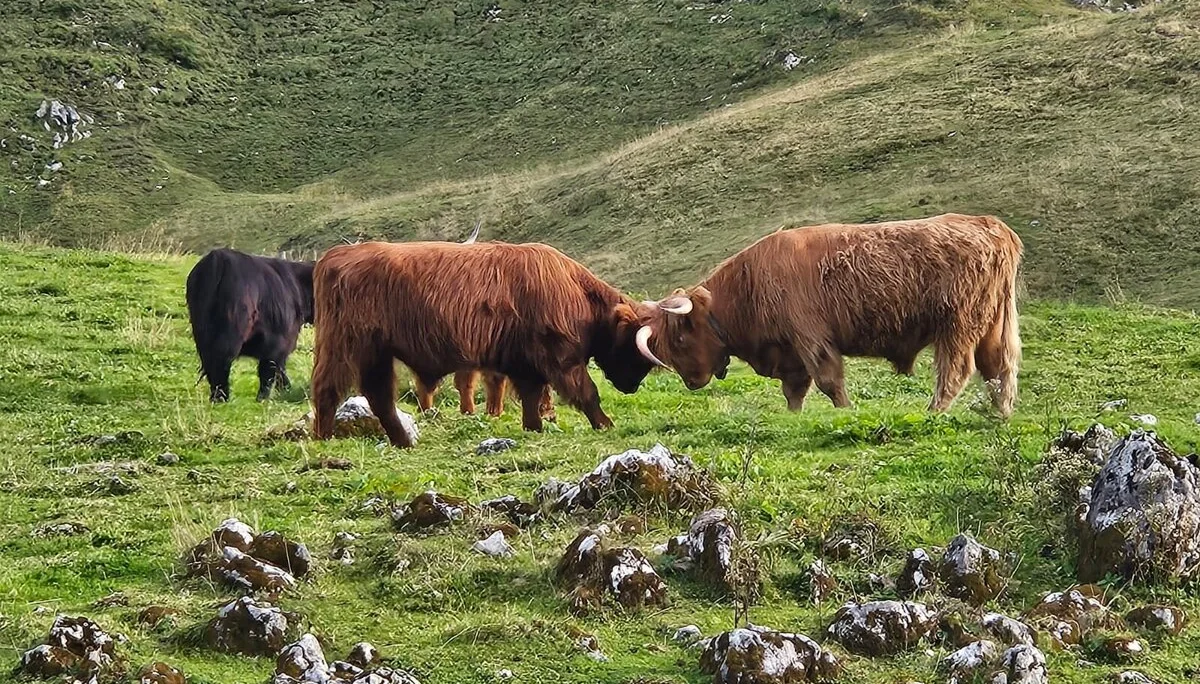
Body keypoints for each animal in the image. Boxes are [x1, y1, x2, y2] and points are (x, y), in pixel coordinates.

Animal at [185, 249, 315, 402]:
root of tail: (218, 258)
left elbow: (279, 371)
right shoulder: (278, 344)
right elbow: (269, 372)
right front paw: (263, 399)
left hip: (201, 333)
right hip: (230, 334)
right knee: (220, 364)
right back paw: (221, 399)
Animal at [309, 240, 654, 447]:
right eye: (633, 350)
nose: (631, 386)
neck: (577, 291)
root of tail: (336, 255)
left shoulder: (525, 364)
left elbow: (531, 397)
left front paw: (534, 427)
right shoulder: (560, 357)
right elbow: (586, 392)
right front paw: (605, 423)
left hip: (376, 353)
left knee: (379, 396)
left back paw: (403, 441)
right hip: (346, 345)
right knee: (328, 389)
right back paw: (324, 437)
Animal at [634, 213, 1023, 417]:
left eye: (680, 337)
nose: (691, 381)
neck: (747, 288)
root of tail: (987, 223)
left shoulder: (811, 339)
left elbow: (827, 380)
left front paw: (846, 411)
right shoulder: (791, 352)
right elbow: (794, 390)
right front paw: (793, 417)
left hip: (959, 323)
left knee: (957, 369)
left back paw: (934, 410)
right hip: (994, 322)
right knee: (998, 367)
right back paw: (1001, 413)